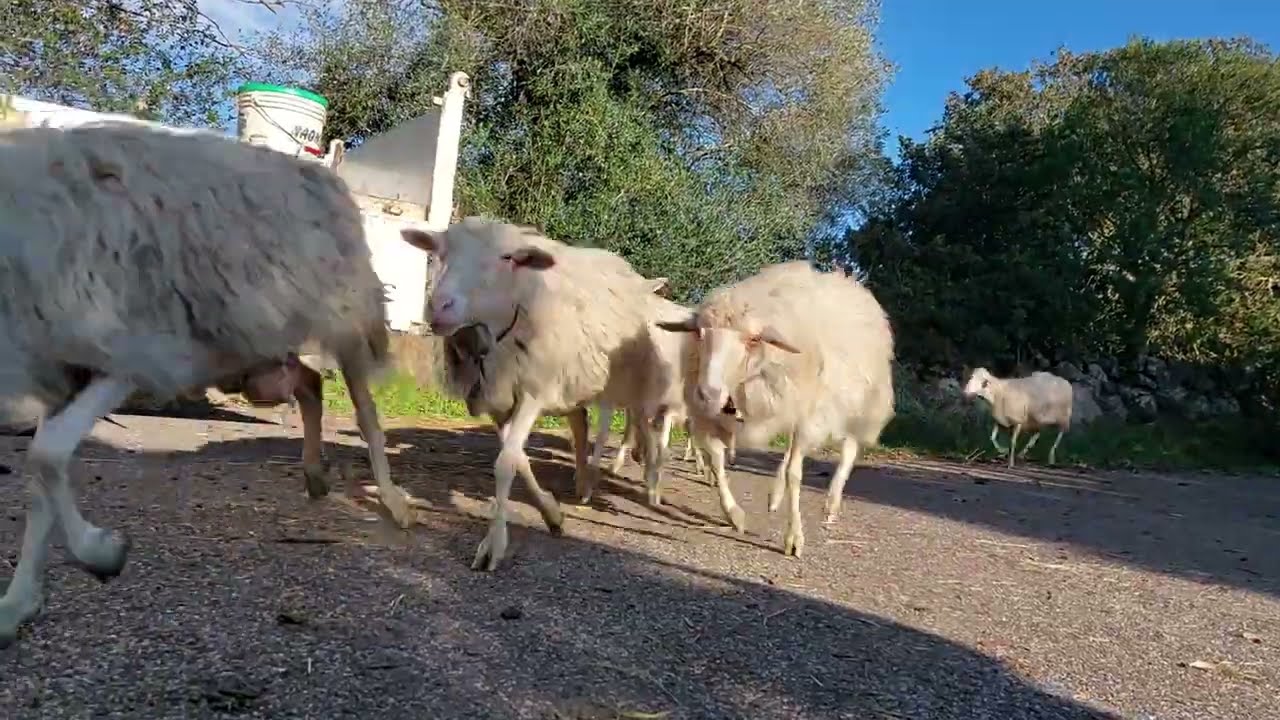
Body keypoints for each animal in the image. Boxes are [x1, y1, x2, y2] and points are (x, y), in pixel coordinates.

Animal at [0, 121, 412, 645]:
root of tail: (323, 172)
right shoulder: (71, 371)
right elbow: (42, 475)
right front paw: (18, 602)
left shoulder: (137, 355)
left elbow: (46, 456)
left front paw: (101, 553)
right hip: (253, 349)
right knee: (310, 384)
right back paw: (315, 473)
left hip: (344, 317)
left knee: (365, 414)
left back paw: (393, 500)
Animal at [399, 218, 679, 571]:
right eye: (440, 252)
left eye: (507, 258)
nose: (439, 306)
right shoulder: (497, 399)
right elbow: (517, 458)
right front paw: (551, 512)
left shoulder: (533, 393)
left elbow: (505, 463)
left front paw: (493, 545)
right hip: (572, 379)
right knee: (580, 423)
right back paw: (584, 482)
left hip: (632, 382)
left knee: (644, 427)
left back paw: (651, 482)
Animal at [657, 260, 896, 557]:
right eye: (700, 333)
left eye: (753, 340)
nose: (707, 393)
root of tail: (850, 282)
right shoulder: (711, 417)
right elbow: (717, 459)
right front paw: (734, 514)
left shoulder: (806, 417)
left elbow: (796, 474)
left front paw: (794, 536)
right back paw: (775, 496)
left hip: (859, 402)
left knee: (849, 449)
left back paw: (831, 502)